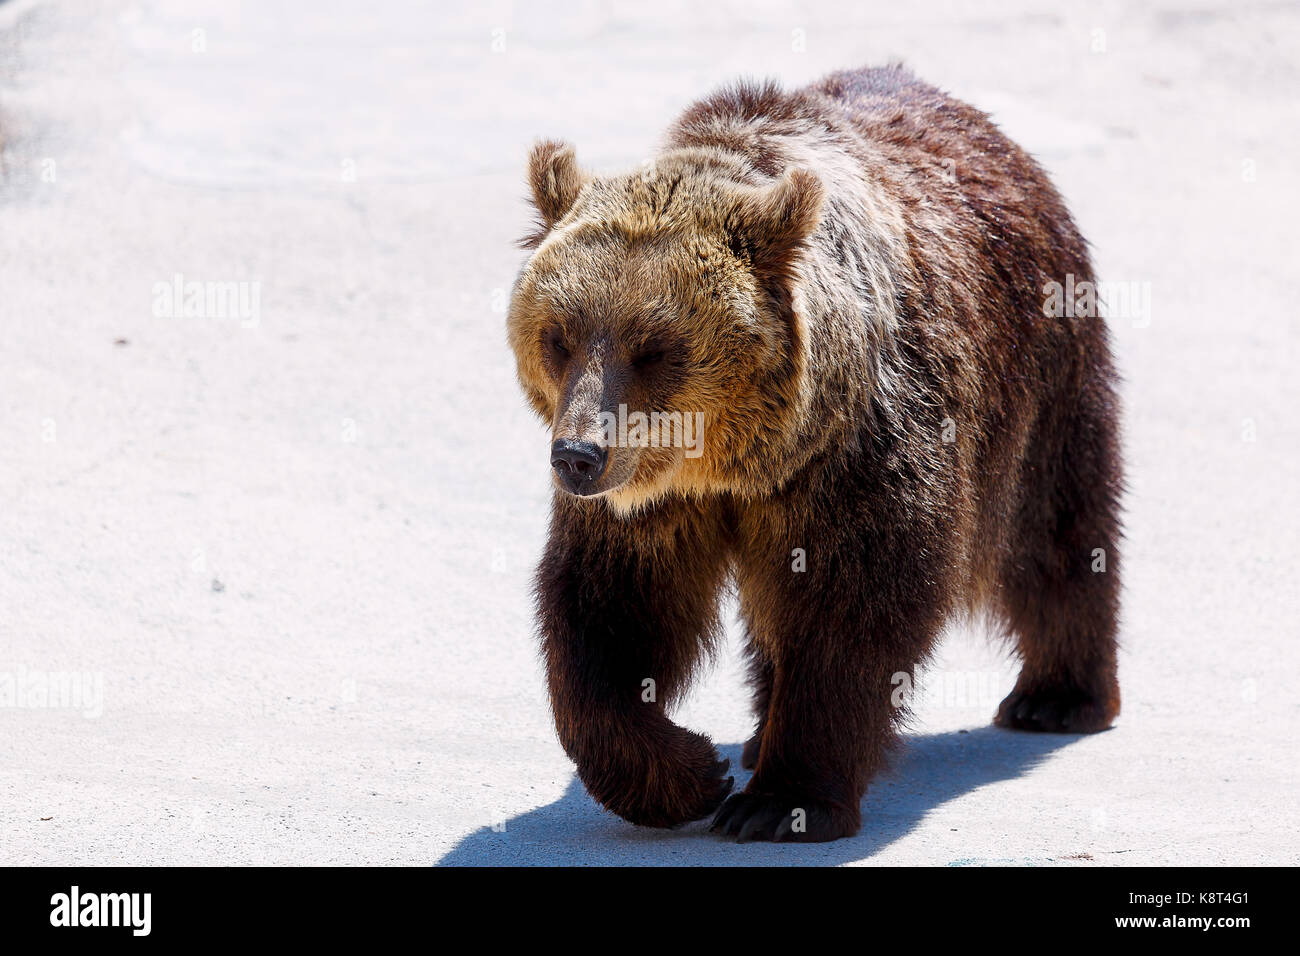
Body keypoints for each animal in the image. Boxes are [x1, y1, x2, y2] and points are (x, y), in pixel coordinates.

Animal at [506, 64, 1123, 842]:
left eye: (656, 347)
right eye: (559, 336)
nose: (578, 455)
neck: (740, 460)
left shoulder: (857, 456)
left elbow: (851, 612)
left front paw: (779, 801)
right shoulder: (654, 498)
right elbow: (609, 614)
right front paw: (686, 773)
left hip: (1042, 371)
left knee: (1055, 528)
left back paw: (1058, 695)